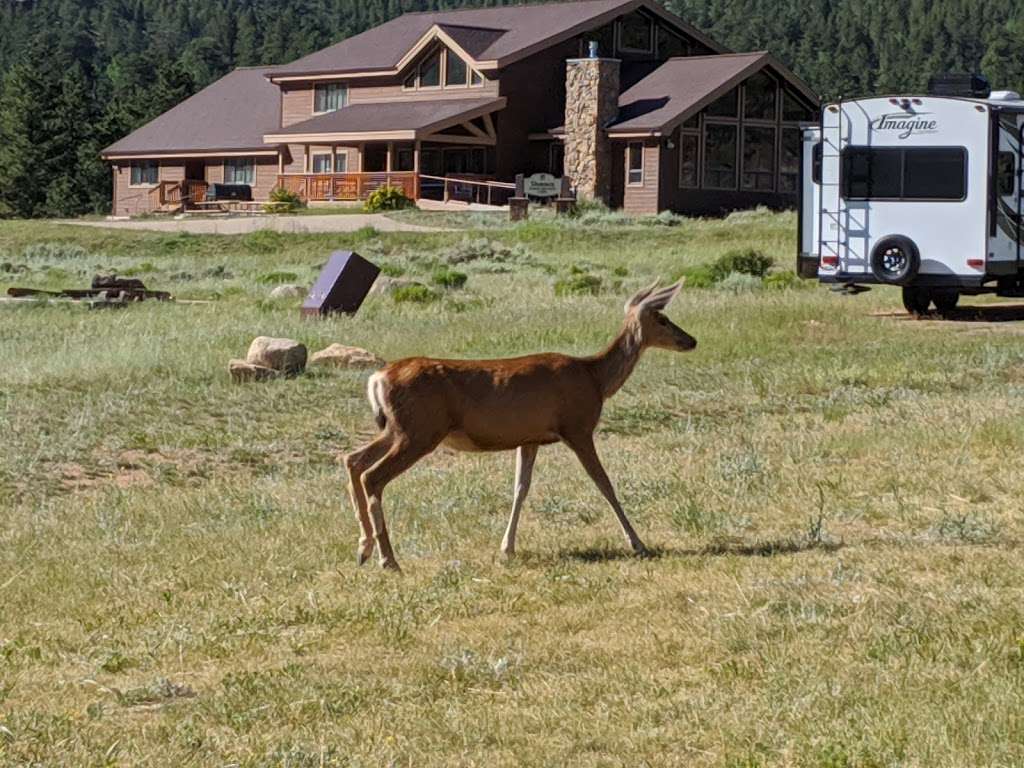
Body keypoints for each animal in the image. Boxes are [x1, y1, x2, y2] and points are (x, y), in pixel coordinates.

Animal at [344, 278, 696, 573]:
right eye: (662, 319)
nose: (691, 340)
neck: (595, 378)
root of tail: (378, 377)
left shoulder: (530, 438)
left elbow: (520, 488)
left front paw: (507, 548)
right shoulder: (577, 427)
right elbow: (604, 483)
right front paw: (638, 543)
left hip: (397, 428)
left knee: (353, 459)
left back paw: (363, 548)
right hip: (419, 431)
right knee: (372, 475)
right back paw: (388, 560)